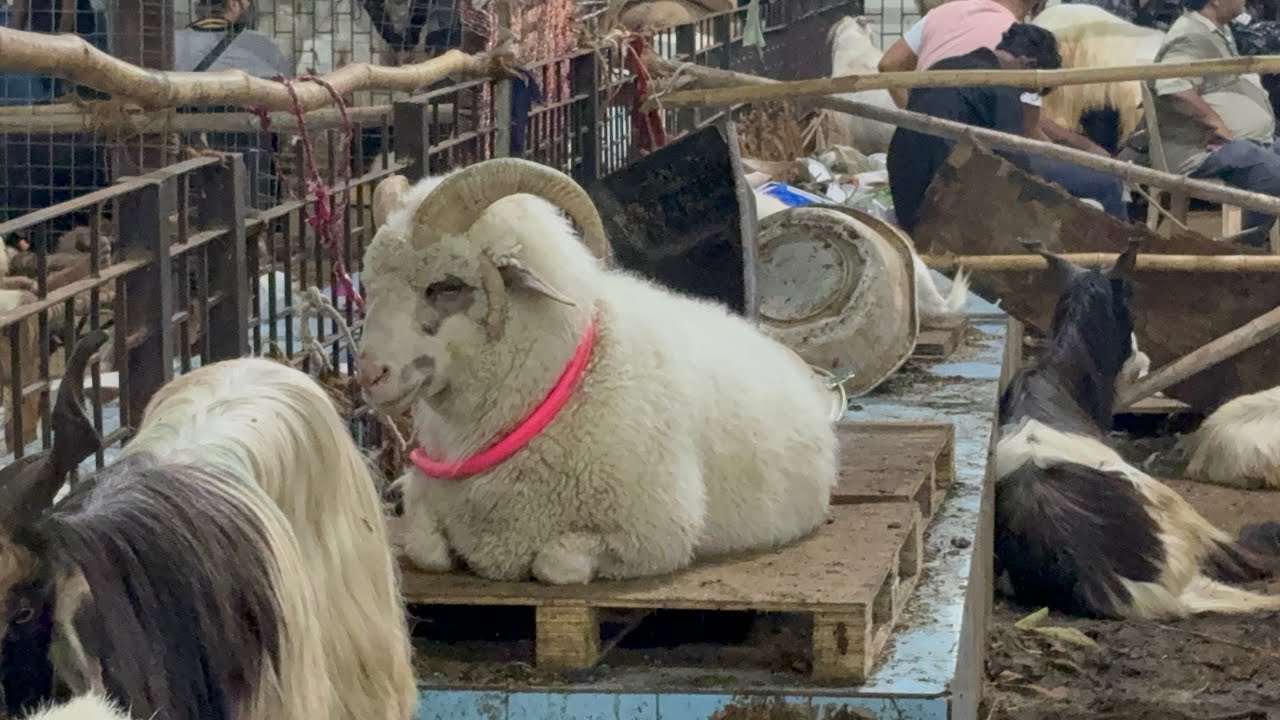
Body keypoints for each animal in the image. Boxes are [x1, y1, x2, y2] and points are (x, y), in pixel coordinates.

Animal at [358, 157, 838, 585]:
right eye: (369, 285)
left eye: (446, 286)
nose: (369, 373)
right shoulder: (423, 494)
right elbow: (428, 549)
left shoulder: (656, 534)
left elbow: (554, 564)